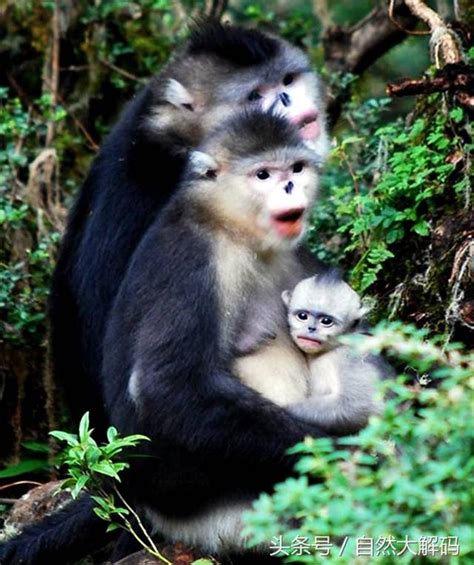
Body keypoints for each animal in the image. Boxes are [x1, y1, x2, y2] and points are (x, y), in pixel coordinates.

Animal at [282, 270, 388, 434]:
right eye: (302, 316)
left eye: (326, 321)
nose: (311, 328)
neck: (336, 346)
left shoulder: (352, 356)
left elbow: (361, 404)